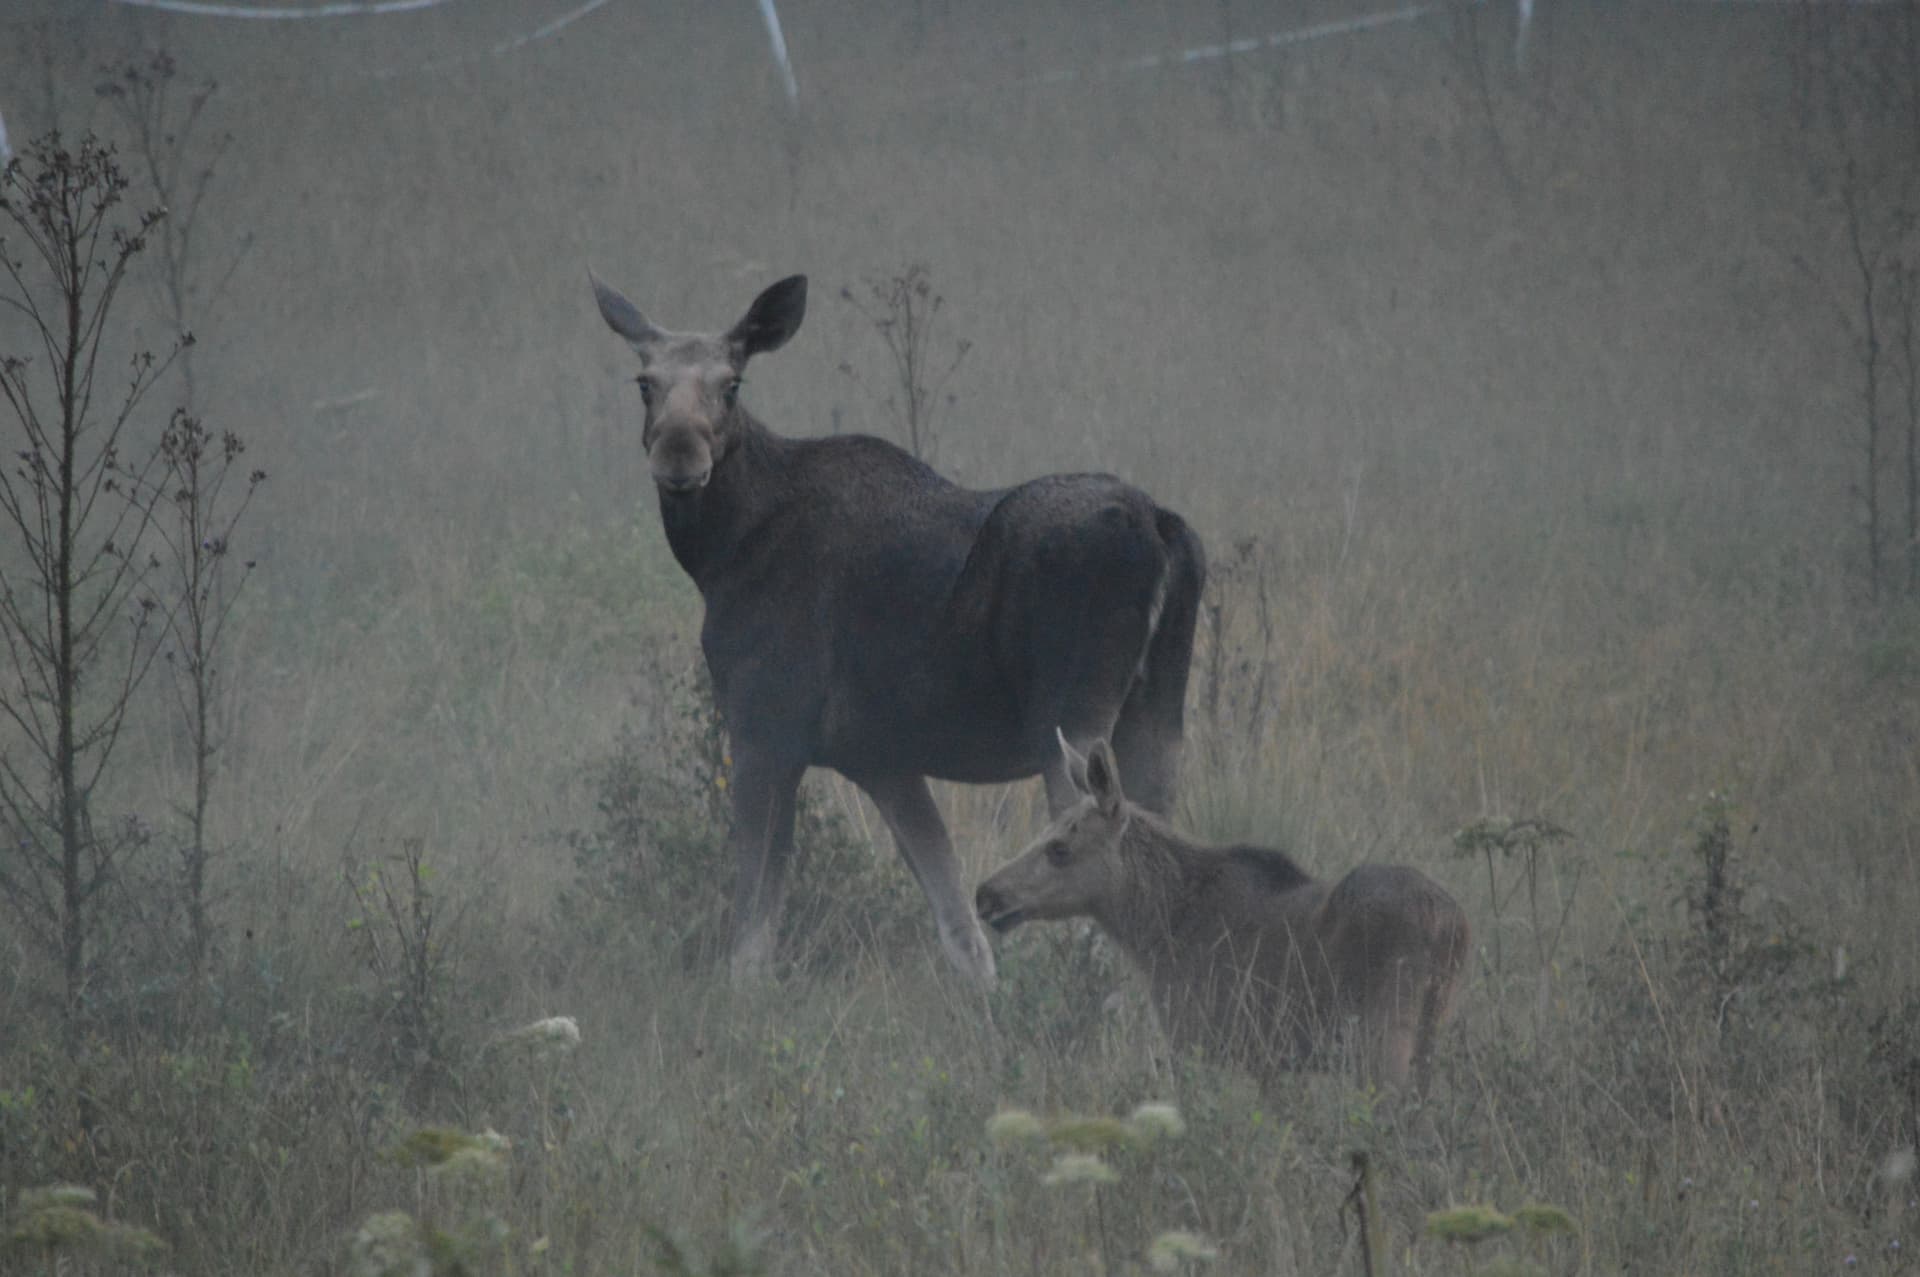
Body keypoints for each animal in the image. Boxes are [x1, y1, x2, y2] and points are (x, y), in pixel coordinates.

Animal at [591, 270, 1205, 983]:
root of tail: (1161, 527)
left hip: (1071, 719)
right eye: (644, 382)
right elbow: (959, 925)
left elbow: (753, 927)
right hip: (1158, 716)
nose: (679, 454)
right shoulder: (879, 757)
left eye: (732, 382)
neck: (720, 553)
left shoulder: (766, 729)